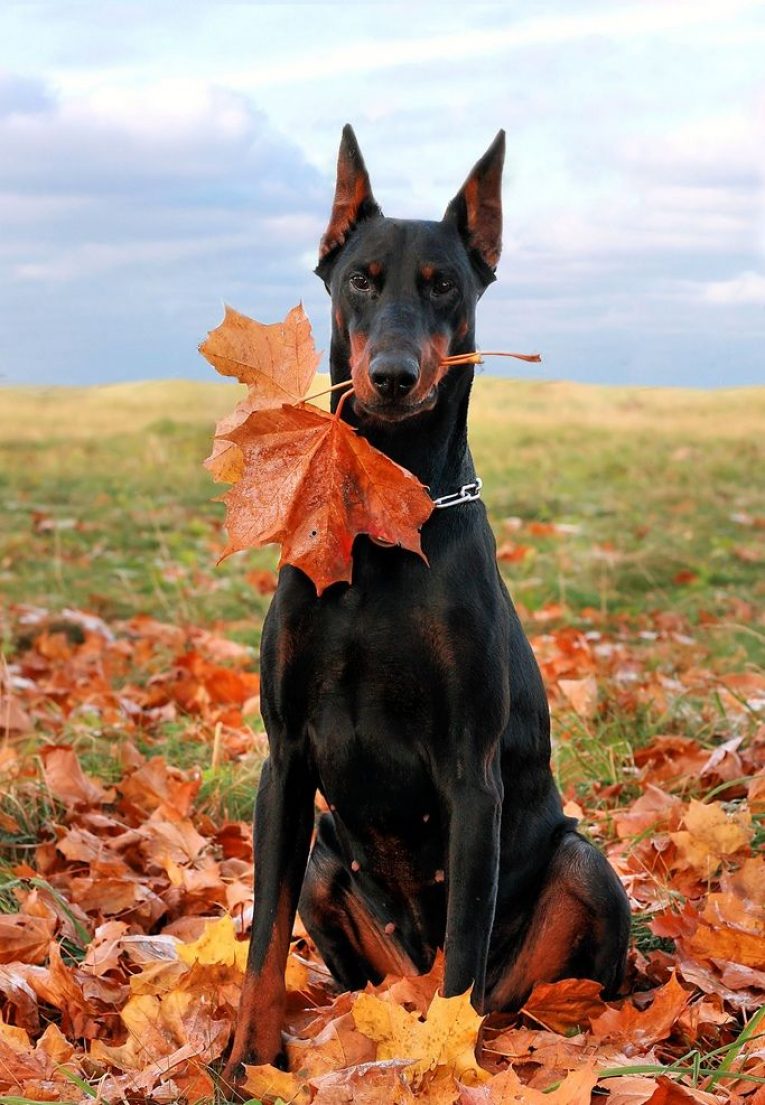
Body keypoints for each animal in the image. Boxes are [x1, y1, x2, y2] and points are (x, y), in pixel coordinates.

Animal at [224, 127, 632, 1078]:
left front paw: (440, 1068)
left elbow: (463, 963)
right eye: (361, 279)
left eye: (444, 284)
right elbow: (262, 943)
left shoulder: (470, 775)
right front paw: (245, 1062)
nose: (393, 375)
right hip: (330, 859)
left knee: (496, 983)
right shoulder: (286, 760)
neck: (380, 520)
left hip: (580, 864)